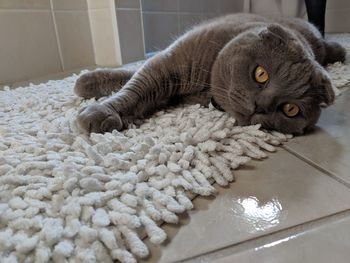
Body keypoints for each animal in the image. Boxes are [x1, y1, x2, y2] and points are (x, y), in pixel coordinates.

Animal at [75, 13, 346, 135]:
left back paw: (341, 51)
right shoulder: (167, 64)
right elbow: (134, 86)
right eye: (261, 74)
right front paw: (95, 100)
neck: (205, 85)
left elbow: (135, 85)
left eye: (290, 109)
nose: (261, 106)